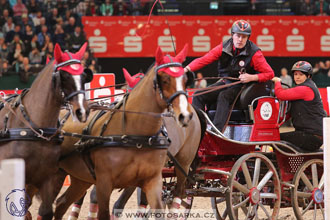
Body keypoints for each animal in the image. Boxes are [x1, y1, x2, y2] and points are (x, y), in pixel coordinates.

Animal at [0, 42, 92, 219]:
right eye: (64, 75)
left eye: (84, 76)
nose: (82, 112)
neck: (37, 130)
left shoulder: (48, 178)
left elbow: (45, 211)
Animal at [45, 45, 196, 220]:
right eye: (164, 79)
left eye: (185, 80)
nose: (184, 115)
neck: (136, 136)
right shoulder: (104, 181)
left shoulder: (151, 180)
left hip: (183, 164)